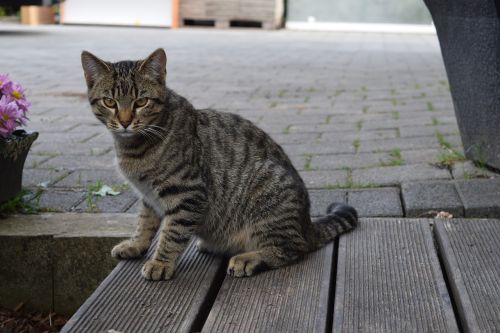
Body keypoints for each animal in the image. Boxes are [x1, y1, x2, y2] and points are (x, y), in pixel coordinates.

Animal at [80, 48, 358, 278]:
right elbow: (145, 224)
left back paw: (249, 259)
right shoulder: (148, 197)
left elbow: (171, 233)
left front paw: (160, 262)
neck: (132, 148)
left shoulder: (187, 193)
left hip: (269, 199)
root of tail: (307, 224)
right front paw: (135, 245)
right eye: (110, 102)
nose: (125, 121)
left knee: (292, 249)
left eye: (141, 102)